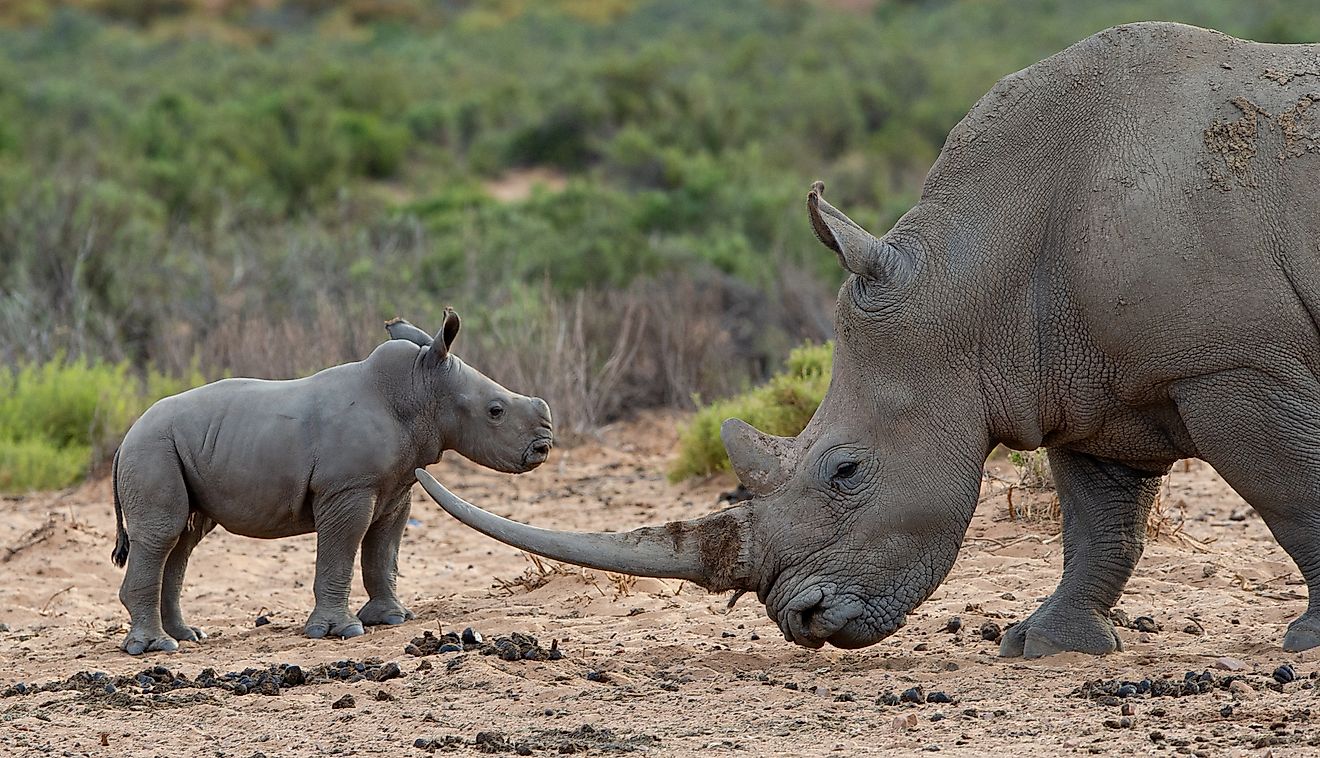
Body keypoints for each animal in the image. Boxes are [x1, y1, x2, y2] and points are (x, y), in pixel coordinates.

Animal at [106, 309, 551, 654]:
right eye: (495, 411)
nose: (543, 446)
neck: (418, 390)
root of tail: (124, 439)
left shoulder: (395, 489)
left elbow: (383, 553)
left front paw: (391, 618)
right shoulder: (348, 488)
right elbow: (341, 551)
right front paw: (342, 631)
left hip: (176, 446)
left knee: (184, 537)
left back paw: (188, 637)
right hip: (152, 448)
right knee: (163, 534)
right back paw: (155, 647)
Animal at [417, 25, 1320, 660]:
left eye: (846, 472)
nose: (803, 619)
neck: (974, 281)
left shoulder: (1234, 366)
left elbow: (1290, 495)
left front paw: (1309, 644)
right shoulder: (1088, 382)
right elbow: (1101, 524)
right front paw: (1045, 645)